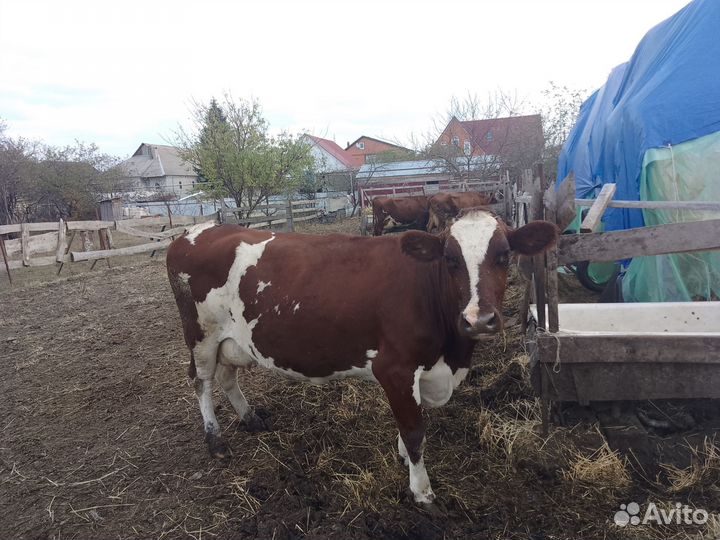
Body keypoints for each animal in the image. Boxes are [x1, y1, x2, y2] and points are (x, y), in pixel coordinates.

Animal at [166, 210, 558, 506]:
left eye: (504, 255)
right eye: (450, 259)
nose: (479, 319)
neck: (451, 355)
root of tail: (196, 229)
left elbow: (411, 422)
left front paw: (403, 456)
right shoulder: (394, 368)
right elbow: (415, 430)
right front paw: (421, 491)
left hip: (231, 339)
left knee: (227, 376)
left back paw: (250, 417)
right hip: (200, 334)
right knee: (200, 380)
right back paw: (215, 440)